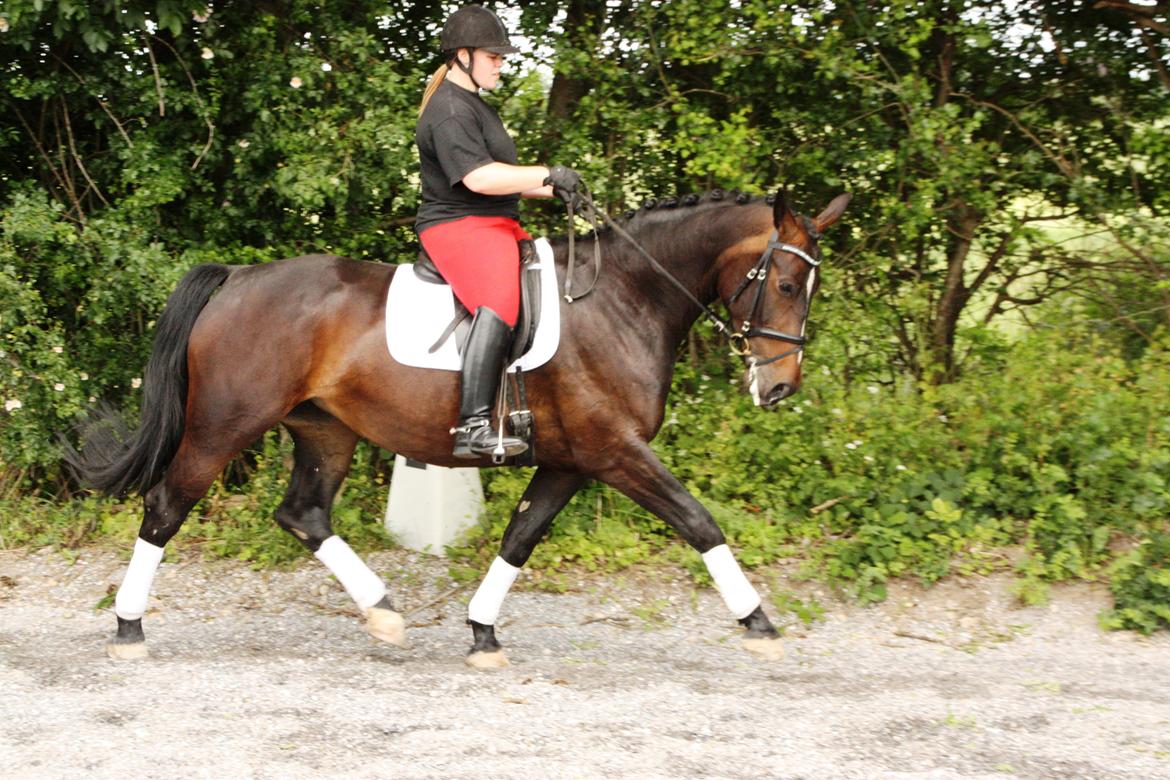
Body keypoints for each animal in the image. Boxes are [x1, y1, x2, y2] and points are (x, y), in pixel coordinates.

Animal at [68, 185, 851, 668]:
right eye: (786, 284)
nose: (779, 386)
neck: (625, 298)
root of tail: (238, 277)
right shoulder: (614, 452)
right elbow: (699, 521)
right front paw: (759, 623)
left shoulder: (570, 460)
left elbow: (520, 538)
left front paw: (482, 631)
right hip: (222, 425)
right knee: (166, 506)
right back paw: (129, 628)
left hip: (324, 430)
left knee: (303, 513)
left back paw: (383, 611)